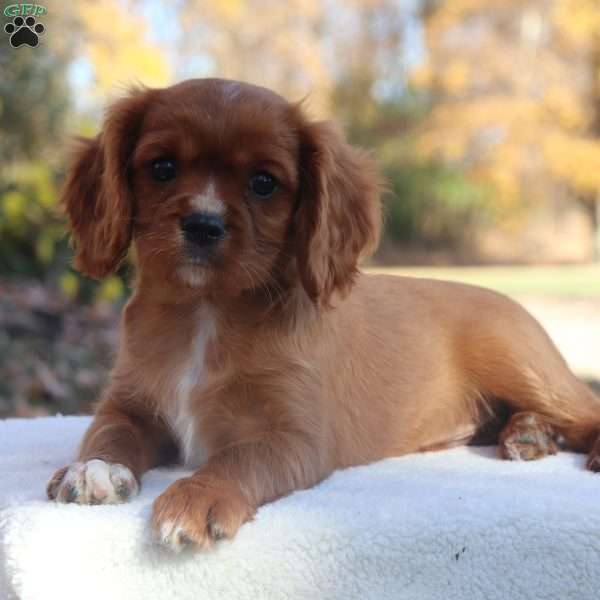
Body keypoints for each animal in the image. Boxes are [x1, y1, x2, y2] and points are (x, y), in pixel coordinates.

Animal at [47, 77, 600, 552]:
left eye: (264, 183)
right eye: (161, 168)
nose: (203, 225)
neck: (206, 312)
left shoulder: (294, 437)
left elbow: (237, 457)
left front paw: (195, 497)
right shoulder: (129, 404)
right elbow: (109, 432)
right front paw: (93, 470)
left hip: (524, 367)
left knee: (585, 410)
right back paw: (529, 434)